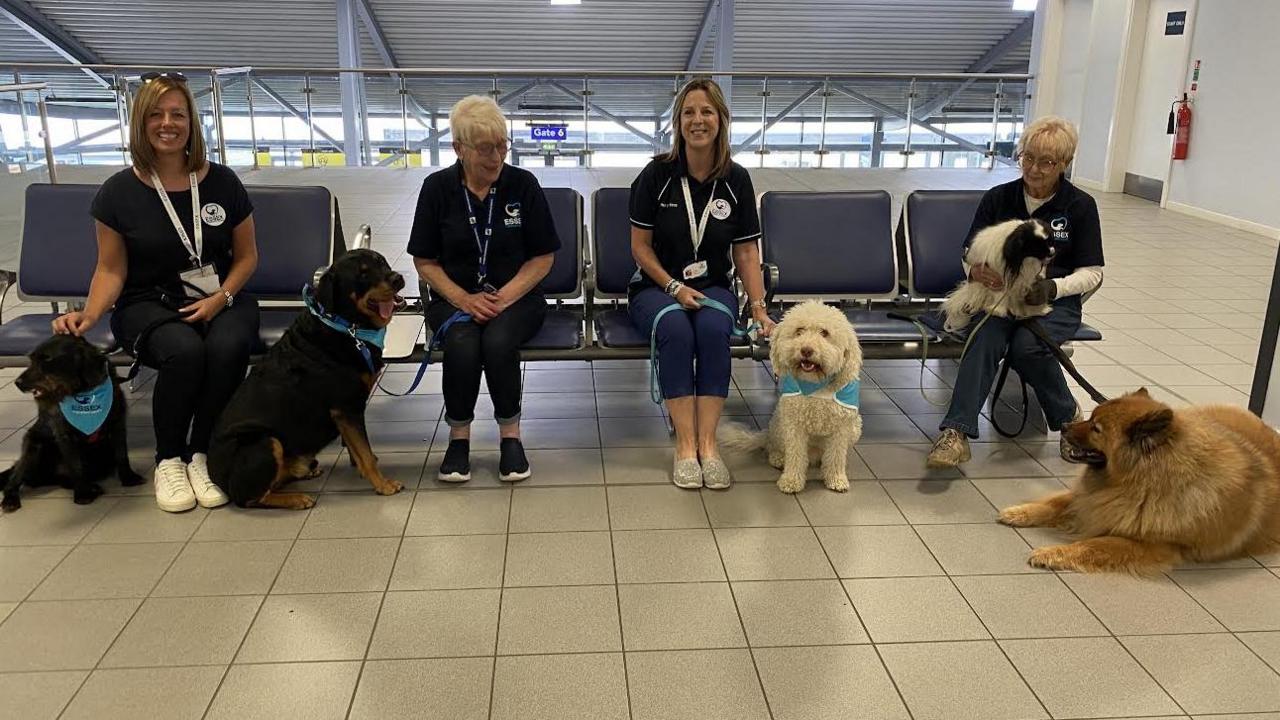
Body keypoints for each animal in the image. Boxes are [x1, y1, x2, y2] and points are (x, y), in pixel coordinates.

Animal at [0, 333, 145, 507]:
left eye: (47, 359)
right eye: (32, 359)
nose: (18, 383)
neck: (83, 392)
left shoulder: (117, 423)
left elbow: (122, 454)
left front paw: (129, 477)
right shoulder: (65, 435)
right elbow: (76, 465)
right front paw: (82, 493)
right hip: (33, 448)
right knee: (14, 478)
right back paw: (10, 498)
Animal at [207, 249, 404, 507]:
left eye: (381, 261)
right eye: (362, 274)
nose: (397, 278)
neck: (345, 325)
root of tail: (217, 478)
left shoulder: (347, 412)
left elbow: (359, 450)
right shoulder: (346, 408)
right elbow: (365, 452)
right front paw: (383, 484)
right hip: (264, 442)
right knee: (253, 497)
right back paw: (296, 498)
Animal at [727, 298, 865, 491]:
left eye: (824, 333)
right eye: (799, 331)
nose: (806, 350)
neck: (816, 386)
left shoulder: (841, 428)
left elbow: (837, 455)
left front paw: (836, 478)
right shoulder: (794, 425)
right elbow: (796, 455)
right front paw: (791, 480)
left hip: (855, 428)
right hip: (779, 423)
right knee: (773, 446)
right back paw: (778, 457)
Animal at [998, 386, 1280, 571]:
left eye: (1096, 428)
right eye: (1092, 416)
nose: (1065, 426)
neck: (1139, 482)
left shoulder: (1152, 544)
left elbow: (1095, 544)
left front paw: (1053, 552)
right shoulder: (1092, 497)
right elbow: (1054, 503)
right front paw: (1019, 512)